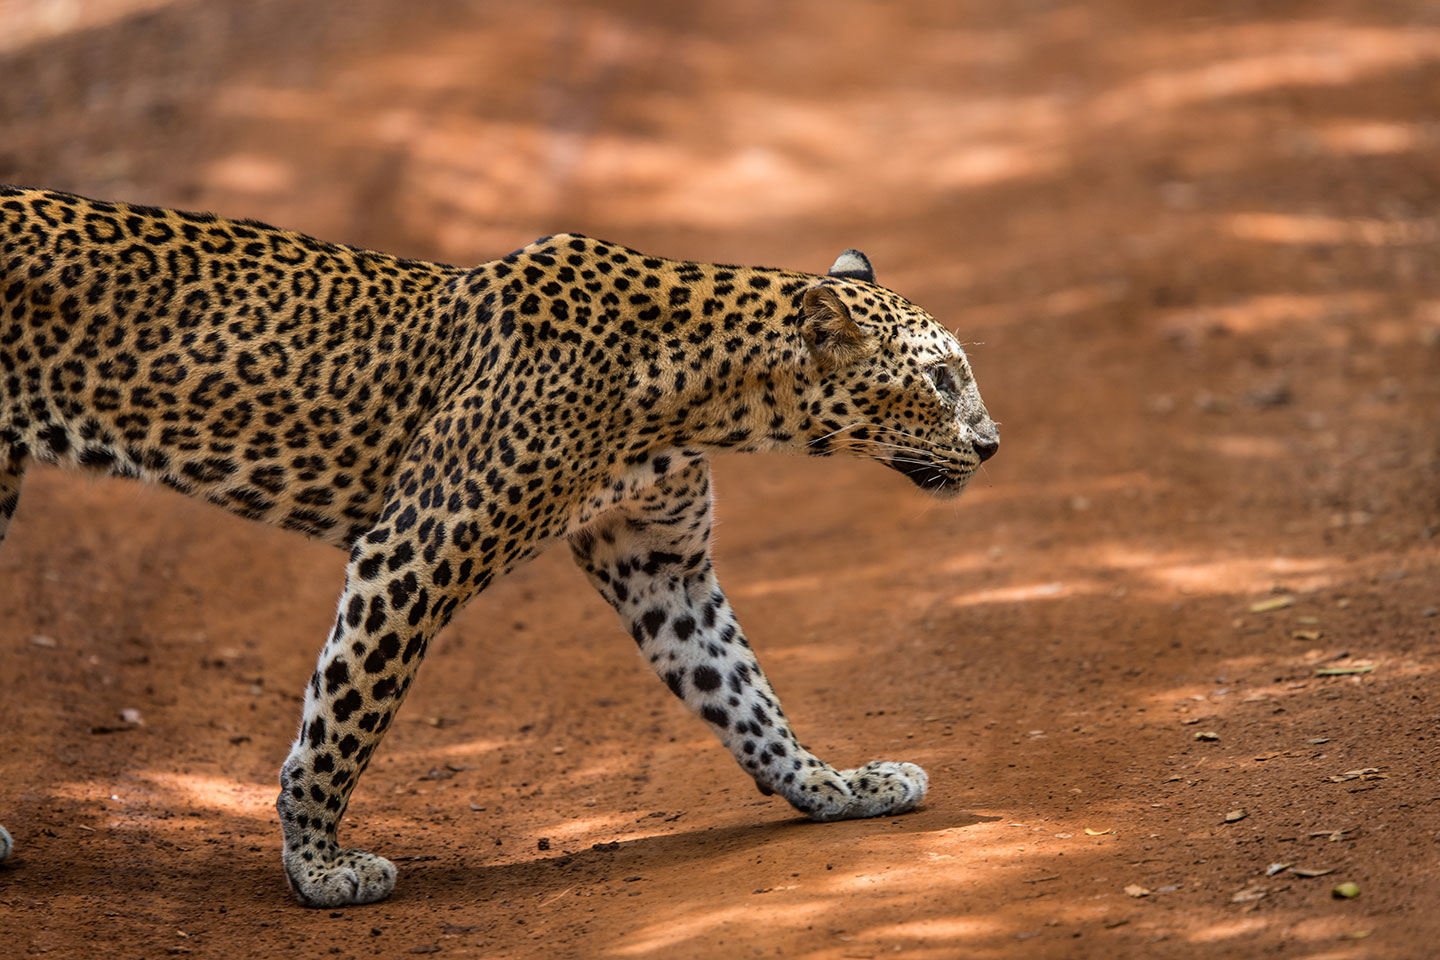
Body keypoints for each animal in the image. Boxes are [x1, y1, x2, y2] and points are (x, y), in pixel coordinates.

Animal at [0, 186, 998, 907]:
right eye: (942, 378)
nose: (992, 445)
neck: (709, 394)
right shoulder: (411, 553)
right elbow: (341, 722)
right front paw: (319, 867)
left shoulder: (661, 564)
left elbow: (742, 693)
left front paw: (836, 786)